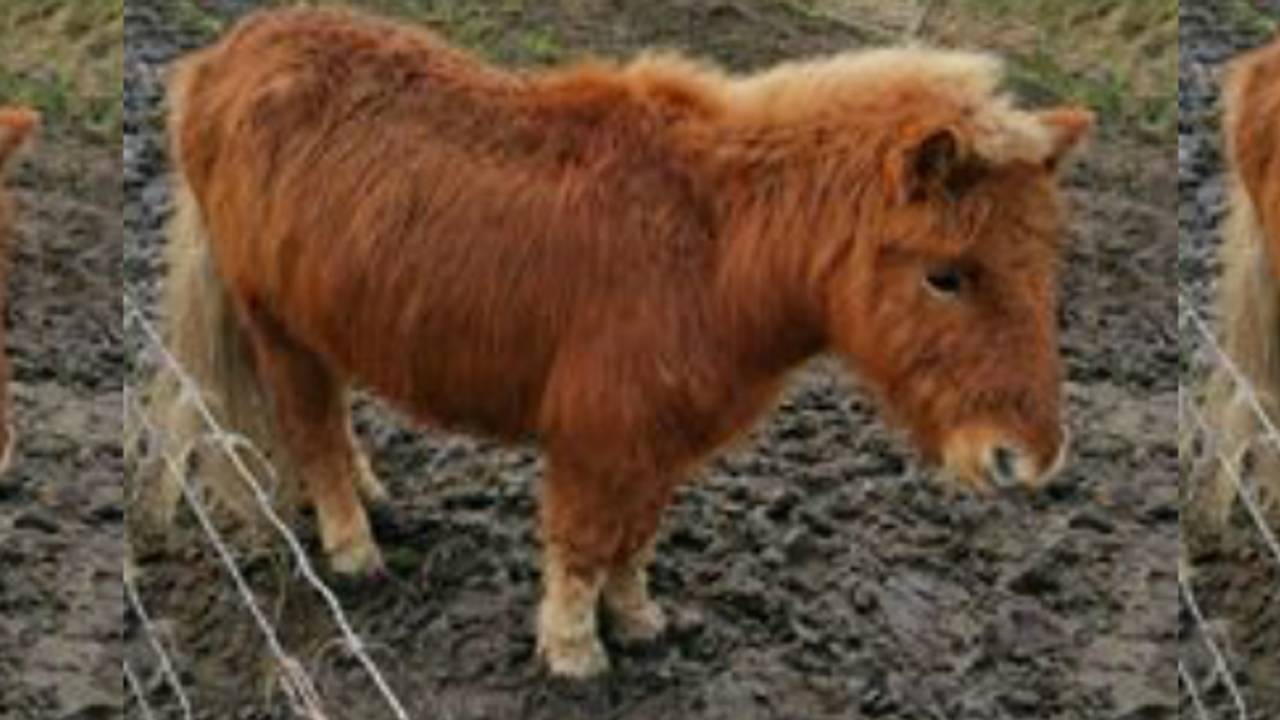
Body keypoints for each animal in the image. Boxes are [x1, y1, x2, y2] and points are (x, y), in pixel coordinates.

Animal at [146, 7, 1092, 677]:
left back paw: (372, 499)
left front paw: (638, 624)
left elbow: (634, 539)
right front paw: (573, 652)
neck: (713, 245)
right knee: (311, 428)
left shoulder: (658, 443)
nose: (1026, 458)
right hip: (275, 325)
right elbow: (581, 541)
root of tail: (224, 57)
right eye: (946, 275)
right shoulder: (596, 439)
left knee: (330, 421)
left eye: (1047, 263)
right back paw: (353, 548)